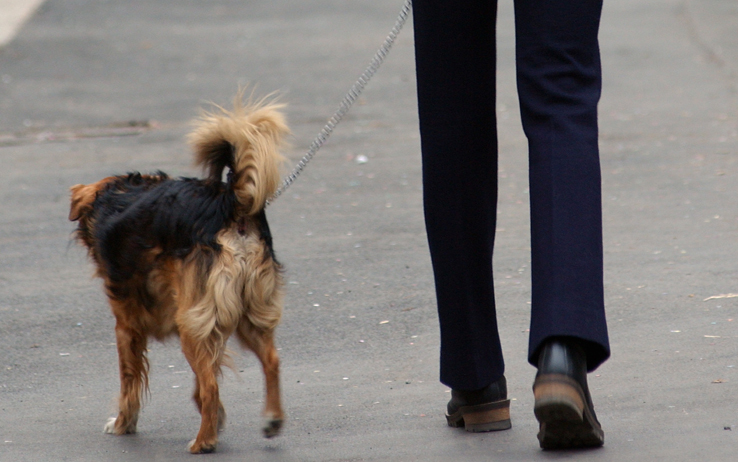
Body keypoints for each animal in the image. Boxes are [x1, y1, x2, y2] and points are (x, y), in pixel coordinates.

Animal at [69, 97, 288, 454]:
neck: (119, 194)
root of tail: (230, 202)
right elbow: (202, 382)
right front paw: (218, 416)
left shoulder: (126, 326)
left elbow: (130, 380)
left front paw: (123, 423)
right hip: (246, 313)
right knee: (270, 360)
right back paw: (271, 419)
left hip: (192, 326)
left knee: (212, 384)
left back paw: (203, 442)